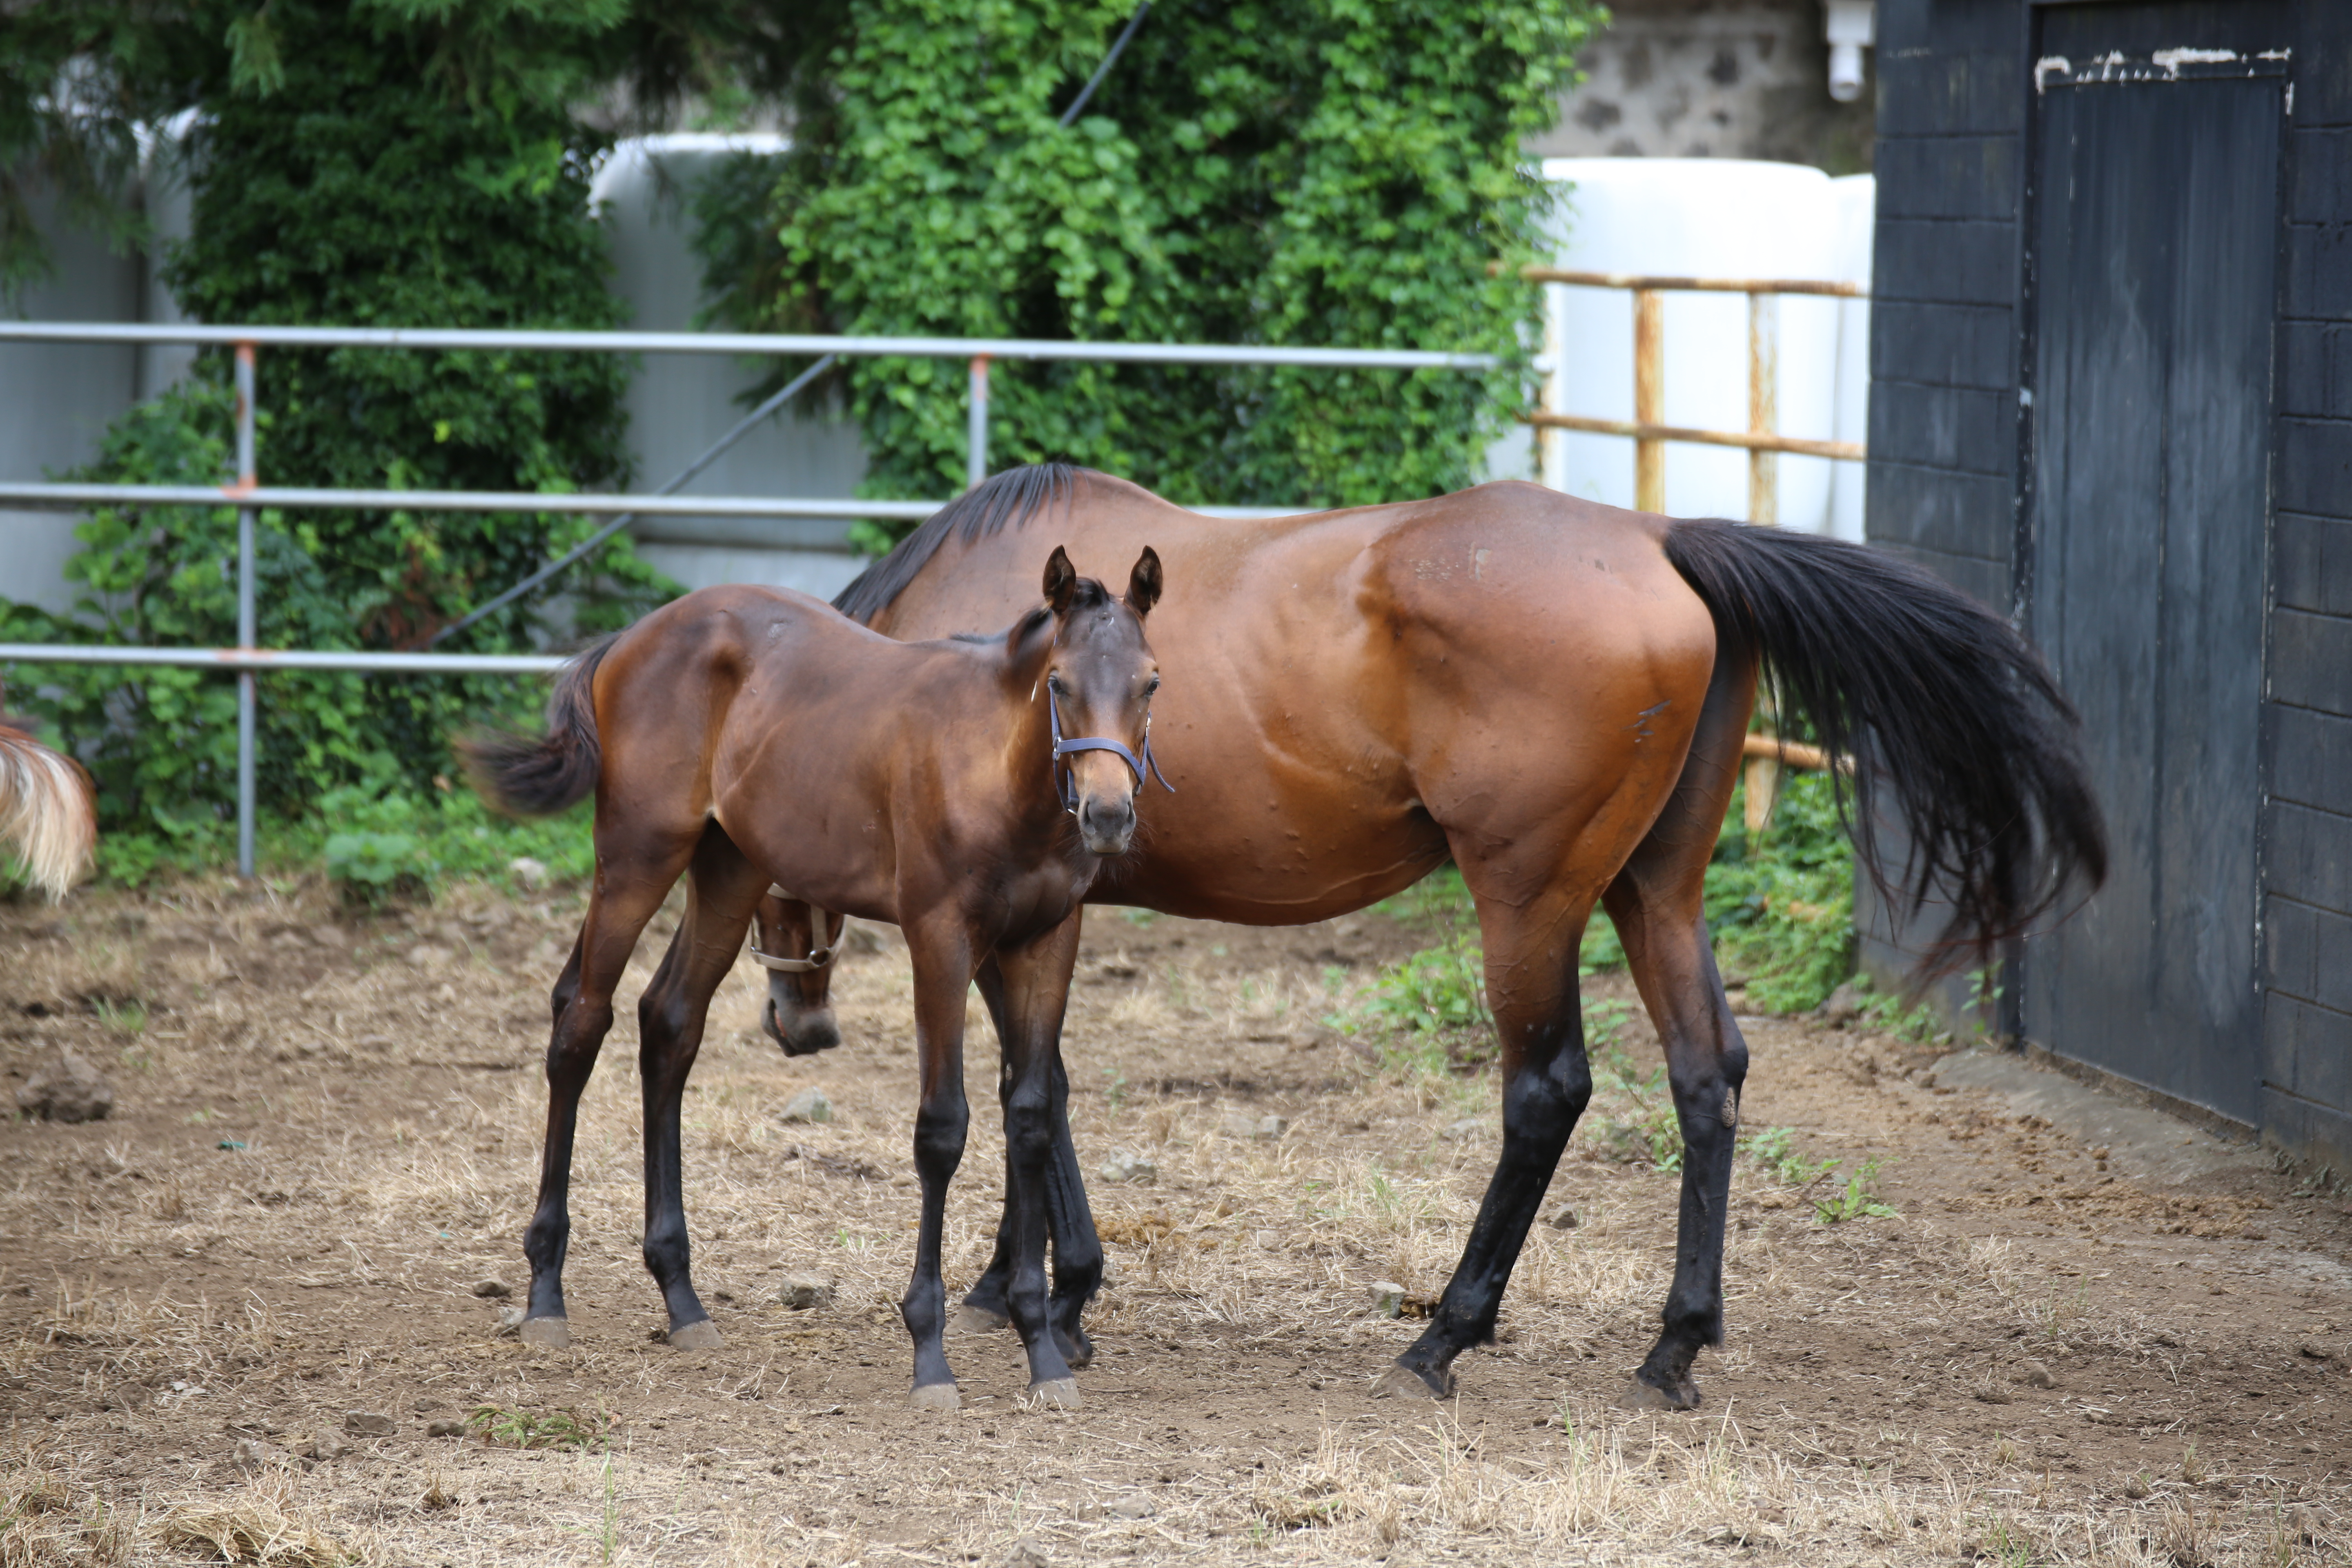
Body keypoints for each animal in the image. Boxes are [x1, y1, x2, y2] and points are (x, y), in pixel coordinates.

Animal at [475, 543, 1166, 1410]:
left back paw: (682, 1298)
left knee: (669, 1022)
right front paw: (930, 1353)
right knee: (580, 1020)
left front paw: (1042, 1346)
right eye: (1062, 684)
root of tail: (629, 639)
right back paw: (546, 1293)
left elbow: (1033, 1117)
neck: (999, 769)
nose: (1108, 817)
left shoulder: (1047, 940)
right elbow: (943, 1129)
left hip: (729, 867)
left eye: (1150, 682)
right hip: (637, 854)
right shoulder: (940, 938)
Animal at [762, 465, 2107, 1410]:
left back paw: (1445, 1335)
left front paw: (1038, 1285)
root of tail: (1661, 540)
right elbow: (1038, 1085)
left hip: (1529, 901)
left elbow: (1026, 1085)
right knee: (1705, 1075)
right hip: (1652, 895)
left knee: (1547, 1088)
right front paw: (1038, 1282)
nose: (789, 1023)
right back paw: (1672, 1342)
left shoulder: (1020, 913)